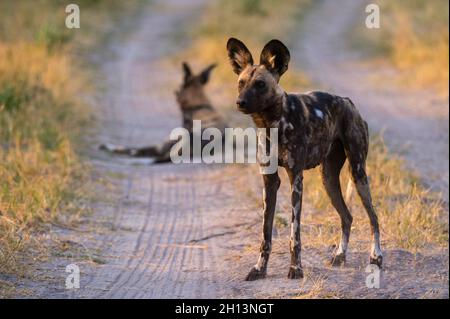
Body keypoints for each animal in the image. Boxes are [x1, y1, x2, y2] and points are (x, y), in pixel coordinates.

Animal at [101, 62, 229, 162]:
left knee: (136, 152)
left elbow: (131, 149)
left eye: (178, 89)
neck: (198, 106)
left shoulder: (161, 147)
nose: (175, 94)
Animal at [227, 38, 382, 282]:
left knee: (373, 217)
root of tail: (348, 102)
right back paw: (340, 256)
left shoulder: (296, 180)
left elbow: (295, 234)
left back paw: (376, 257)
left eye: (260, 84)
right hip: (328, 181)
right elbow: (265, 233)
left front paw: (296, 268)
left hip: (358, 173)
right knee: (347, 217)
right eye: (241, 83)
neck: (271, 124)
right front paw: (259, 269)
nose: (240, 102)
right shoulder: (269, 181)